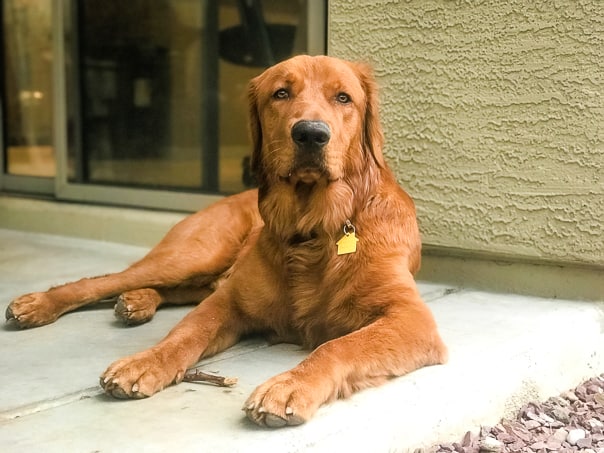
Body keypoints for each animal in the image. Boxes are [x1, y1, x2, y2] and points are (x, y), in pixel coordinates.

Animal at [7, 54, 446, 426]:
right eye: (281, 93)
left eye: (343, 98)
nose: (310, 134)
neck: (314, 227)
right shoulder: (230, 300)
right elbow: (184, 333)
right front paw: (146, 361)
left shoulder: (410, 318)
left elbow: (338, 346)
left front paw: (290, 385)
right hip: (191, 255)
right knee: (103, 281)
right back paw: (40, 304)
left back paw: (137, 302)